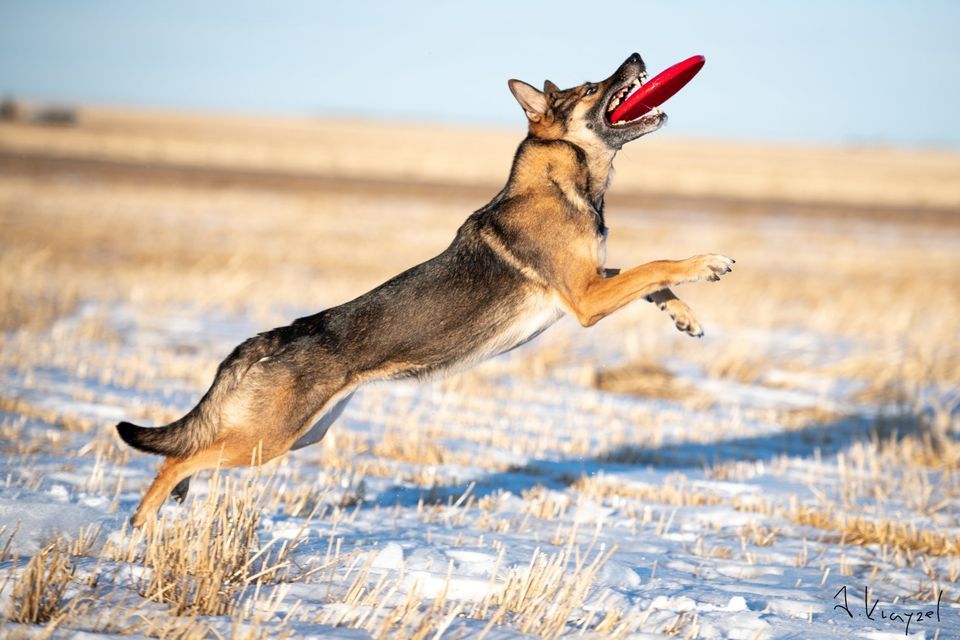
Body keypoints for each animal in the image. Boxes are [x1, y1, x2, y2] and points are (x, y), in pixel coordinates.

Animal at [120, 53, 736, 524]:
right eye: (591, 88)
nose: (636, 55)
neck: (564, 178)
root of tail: (271, 338)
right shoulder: (585, 299)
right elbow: (657, 264)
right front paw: (707, 262)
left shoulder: (591, 283)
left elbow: (648, 279)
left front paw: (684, 314)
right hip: (267, 440)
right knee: (175, 460)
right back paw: (140, 528)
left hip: (298, 436)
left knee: (195, 452)